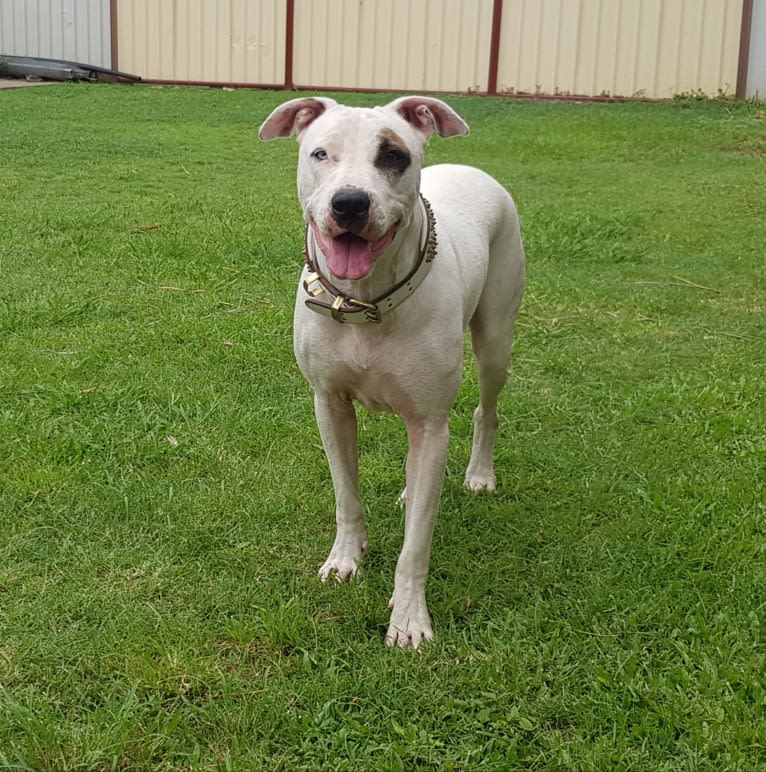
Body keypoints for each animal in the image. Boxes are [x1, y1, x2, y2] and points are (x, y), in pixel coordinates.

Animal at [260, 98, 524, 652]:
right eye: (320, 153)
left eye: (393, 156)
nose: (350, 203)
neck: (367, 301)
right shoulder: (329, 405)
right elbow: (347, 495)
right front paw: (344, 560)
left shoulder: (431, 420)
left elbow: (416, 543)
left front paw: (408, 618)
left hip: (495, 338)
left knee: (485, 409)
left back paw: (479, 474)